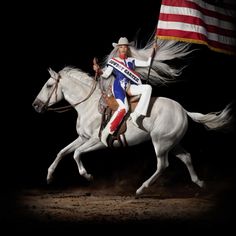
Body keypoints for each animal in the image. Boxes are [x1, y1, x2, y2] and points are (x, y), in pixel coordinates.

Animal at [32, 67, 233, 195]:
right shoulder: (82, 138)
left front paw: (87, 175)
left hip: (160, 143)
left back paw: (141, 189)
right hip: (172, 143)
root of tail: (182, 110)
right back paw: (199, 183)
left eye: (48, 85)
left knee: (162, 165)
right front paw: (49, 176)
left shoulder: (97, 141)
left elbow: (76, 154)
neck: (89, 106)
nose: (35, 105)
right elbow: (62, 152)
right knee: (186, 157)